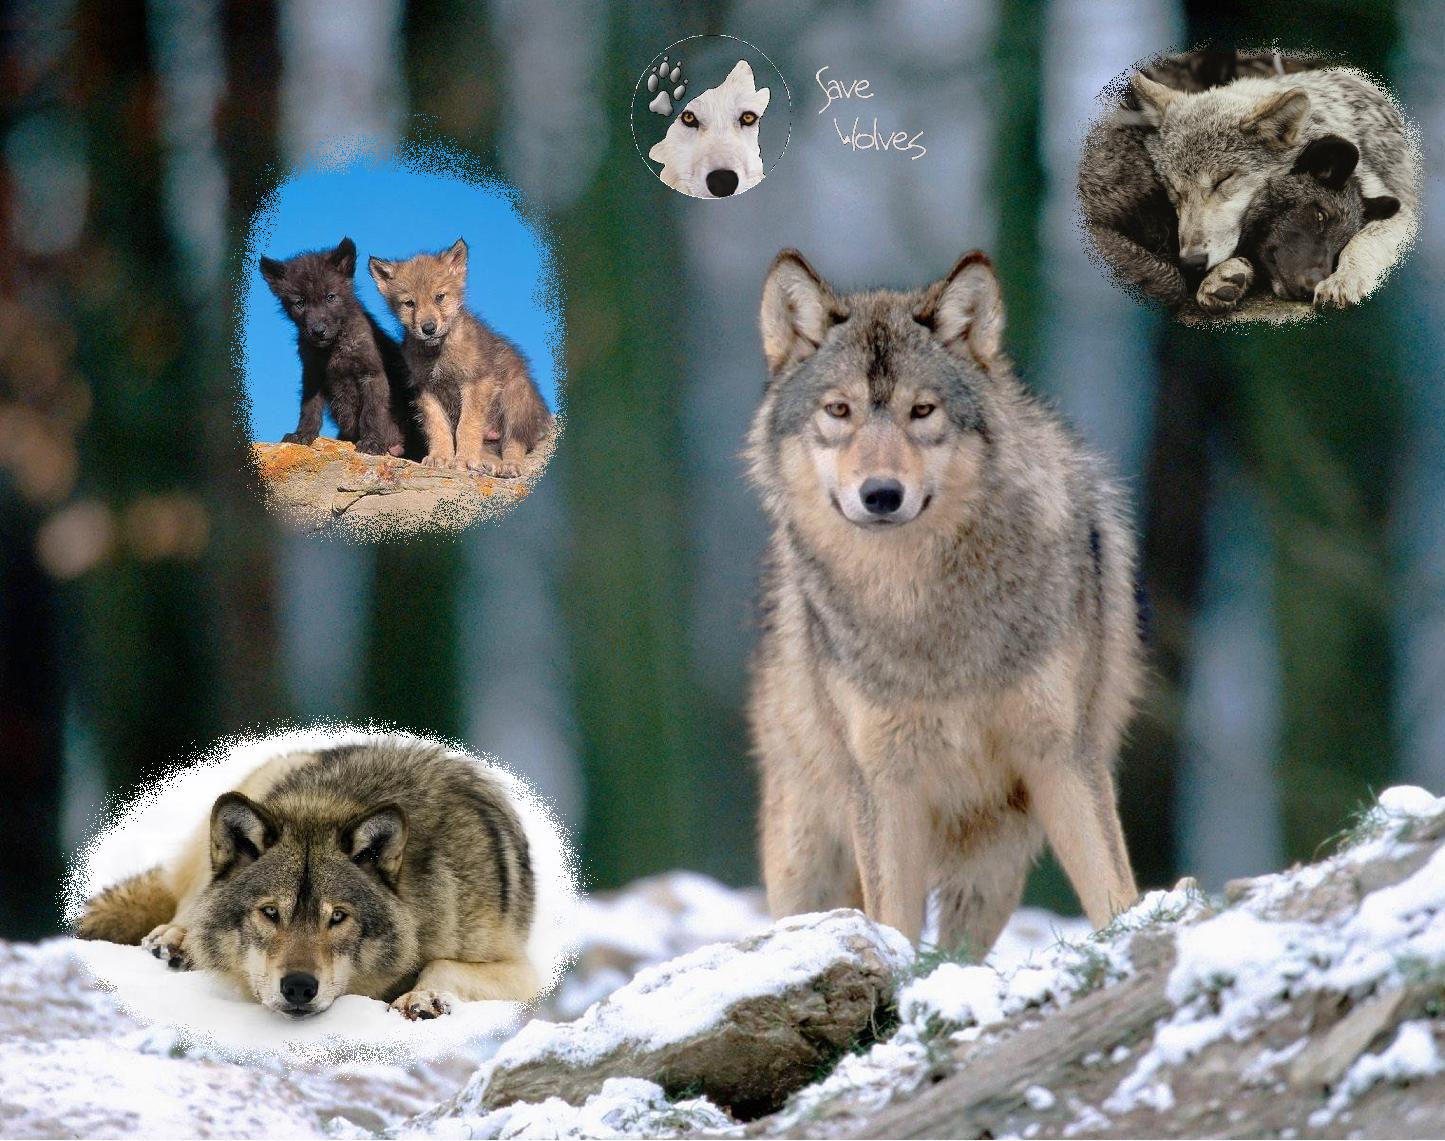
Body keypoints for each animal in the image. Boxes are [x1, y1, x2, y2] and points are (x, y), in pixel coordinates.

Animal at [76, 738, 539, 1020]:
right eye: (269, 913)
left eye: (337, 917)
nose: (299, 987)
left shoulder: (522, 971)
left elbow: (440, 964)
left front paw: (422, 997)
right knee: (189, 903)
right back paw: (176, 939)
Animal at [258, 237, 413, 456]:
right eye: (300, 303)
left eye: (330, 297)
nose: (318, 331)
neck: (333, 348)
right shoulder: (312, 376)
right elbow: (309, 408)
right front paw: (302, 433)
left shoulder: (371, 374)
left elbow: (372, 412)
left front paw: (372, 442)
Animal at [369, 238, 551, 478]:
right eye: (409, 303)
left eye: (439, 297)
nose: (428, 328)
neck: (438, 352)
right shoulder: (425, 390)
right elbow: (438, 428)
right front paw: (440, 457)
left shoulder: (476, 382)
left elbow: (467, 426)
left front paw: (463, 459)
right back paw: (489, 463)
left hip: (516, 397)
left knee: (514, 441)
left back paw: (510, 465)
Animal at [746, 249, 1142, 953]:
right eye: (839, 410)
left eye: (922, 411)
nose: (881, 494)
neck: (922, 608)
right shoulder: (884, 783)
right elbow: (894, 925)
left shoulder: (1063, 755)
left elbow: (1112, 893)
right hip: (807, 859)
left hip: (992, 866)